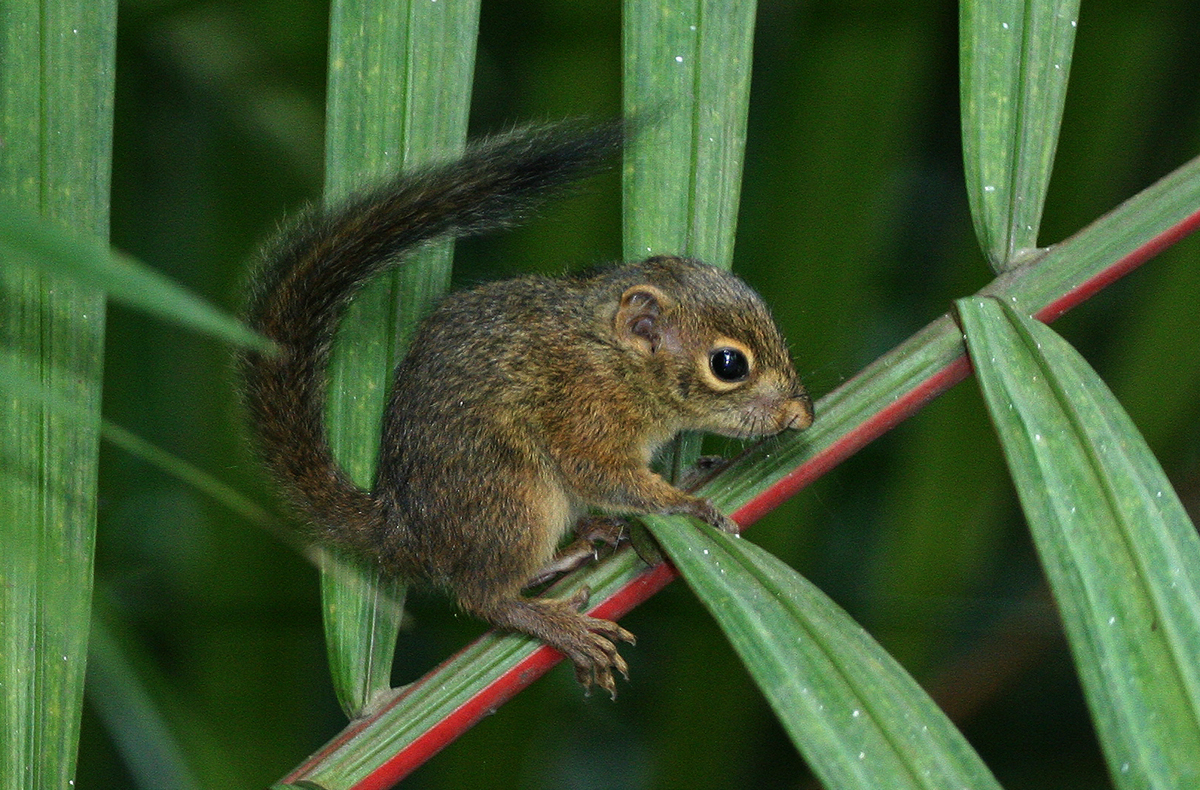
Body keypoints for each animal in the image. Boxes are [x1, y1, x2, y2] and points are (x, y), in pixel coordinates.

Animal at [236, 118, 816, 696]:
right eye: (728, 364)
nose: (802, 414)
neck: (614, 361)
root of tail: (406, 529)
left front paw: (698, 468)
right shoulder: (582, 413)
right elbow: (607, 476)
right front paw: (689, 504)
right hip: (514, 496)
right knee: (482, 595)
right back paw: (558, 622)